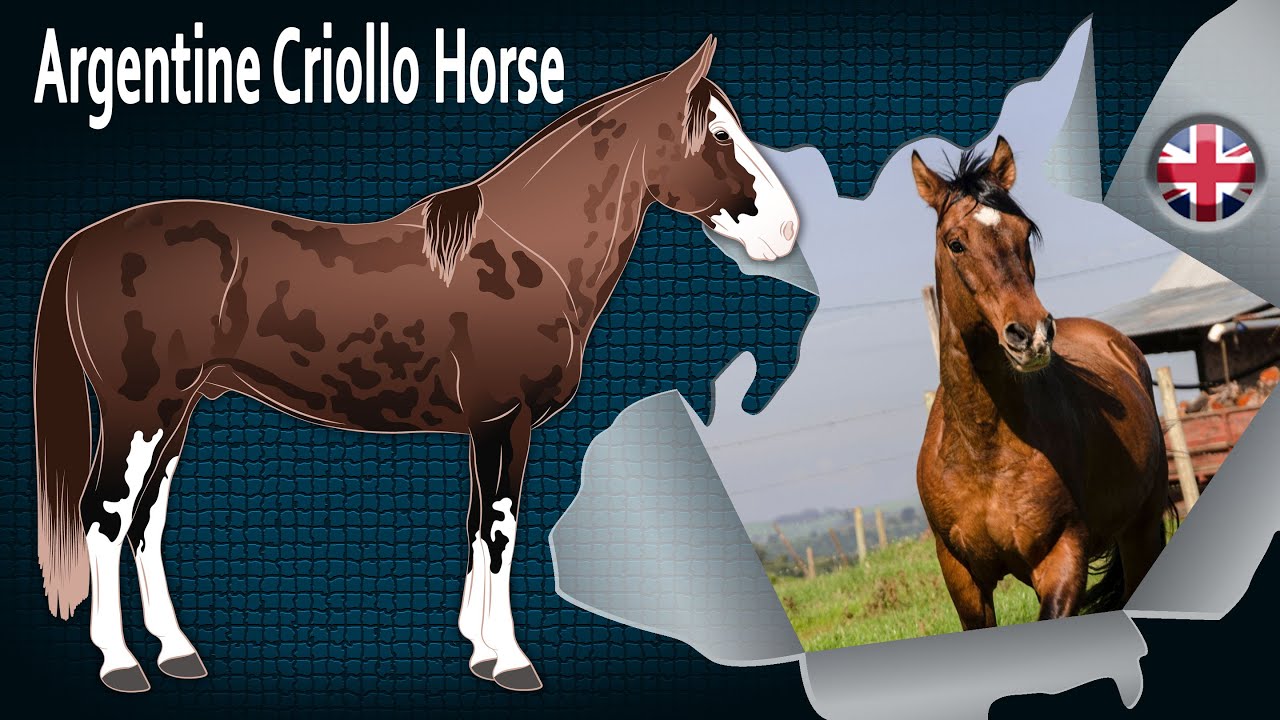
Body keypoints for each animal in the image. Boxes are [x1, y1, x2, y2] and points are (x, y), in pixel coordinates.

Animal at [33, 35, 799, 693]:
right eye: (720, 134)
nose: (788, 231)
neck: (531, 252)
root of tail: (84, 243)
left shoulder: (483, 427)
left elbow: (474, 526)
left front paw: (481, 651)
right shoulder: (505, 420)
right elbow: (499, 530)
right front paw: (513, 660)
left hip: (178, 412)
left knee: (147, 522)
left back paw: (178, 653)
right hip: (140, 411)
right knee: (105, 516)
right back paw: (121, 665)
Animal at [910, 137, 1168, 629]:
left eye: (1024, 232)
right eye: (955, 243)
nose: (1031, 334)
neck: (984, 450)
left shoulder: (1061, 557)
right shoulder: (962, 577)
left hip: (1143, 531)